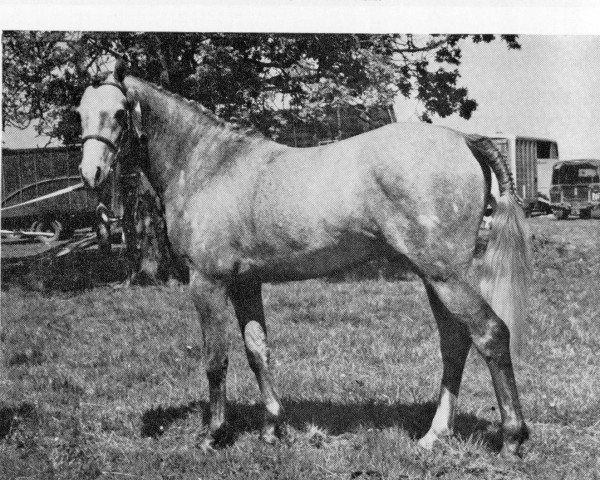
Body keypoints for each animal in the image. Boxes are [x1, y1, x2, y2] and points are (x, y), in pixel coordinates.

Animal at [77, 62, 532, 458]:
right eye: (80, 113)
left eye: (119, 112)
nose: (91, 174)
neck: (209, 166)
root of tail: (463, 138)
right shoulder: (246, 283)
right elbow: (257, 351)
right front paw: (272, 428)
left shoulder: (208, 282)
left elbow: (215, 360)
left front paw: (212, 435)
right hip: (432, 277)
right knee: (454, 343)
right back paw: (434, 435)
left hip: (445, 276)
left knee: (490, 334)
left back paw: (511, 438)